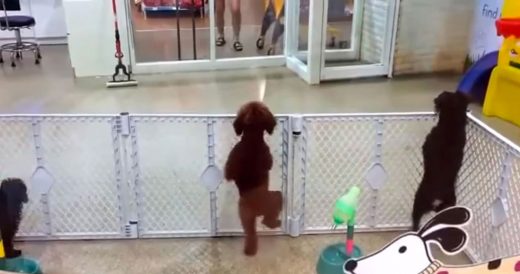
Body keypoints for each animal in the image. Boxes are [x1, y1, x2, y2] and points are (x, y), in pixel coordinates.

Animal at [222, 101, 280, 256]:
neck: (252, 138)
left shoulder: (230, 165)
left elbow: (228, 174)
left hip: (245, 216)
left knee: (250, 233)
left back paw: (249, 249)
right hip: (276, 198)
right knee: (268, 220)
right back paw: (274, 223)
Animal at [412, 92, 470, 231]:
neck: (452, 124)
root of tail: (437, 196)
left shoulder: (428, 142)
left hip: (419, 200)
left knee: (415, 220)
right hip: (450, 200)